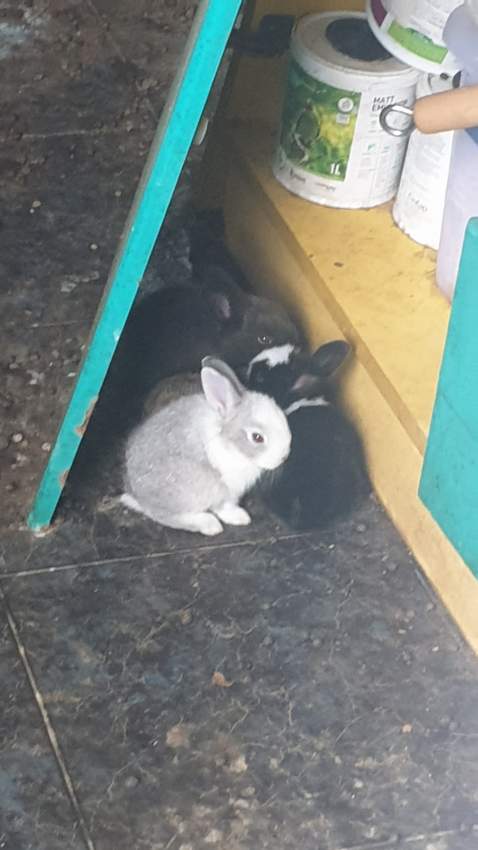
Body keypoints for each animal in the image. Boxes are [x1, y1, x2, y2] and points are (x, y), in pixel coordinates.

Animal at [120, 356, 292, 536]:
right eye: (257, 437)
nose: (284, 456)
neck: (229, 442)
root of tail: (138, 496)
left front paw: (240, 516)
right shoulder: (224, 488)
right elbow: (224, 506)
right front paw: (240, 516)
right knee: (164, 515)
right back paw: (208, 524)